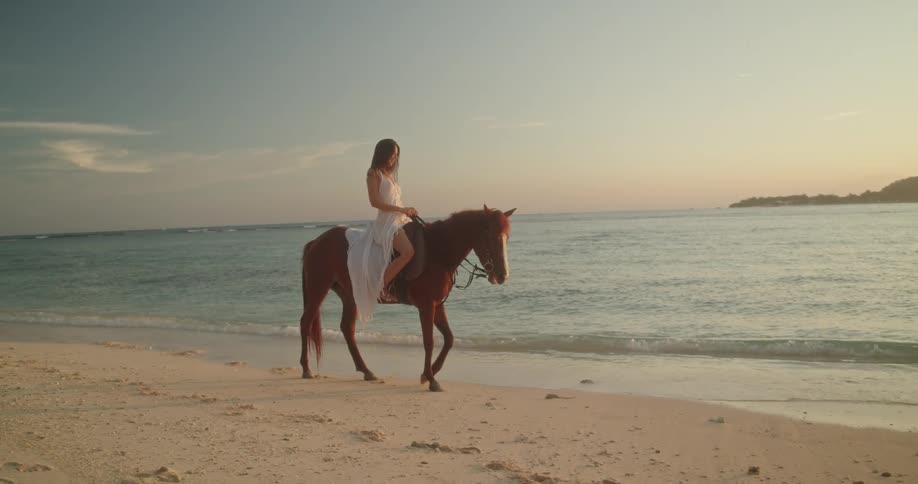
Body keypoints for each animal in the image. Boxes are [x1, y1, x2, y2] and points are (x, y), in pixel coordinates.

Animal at [298, 205, 515, 391]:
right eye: (492, 236)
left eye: (507, 237)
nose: (502, 275)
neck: (438, 250)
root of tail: (316, 242)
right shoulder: (427, 305)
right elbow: (429, 341)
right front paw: (431, 379)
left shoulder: (437, 304)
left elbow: (449, 339)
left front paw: (429, 373)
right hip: (319, 288)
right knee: (306, 322)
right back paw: (306, 368)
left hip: (351, 295)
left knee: (347, 329)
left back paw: (366, 371)